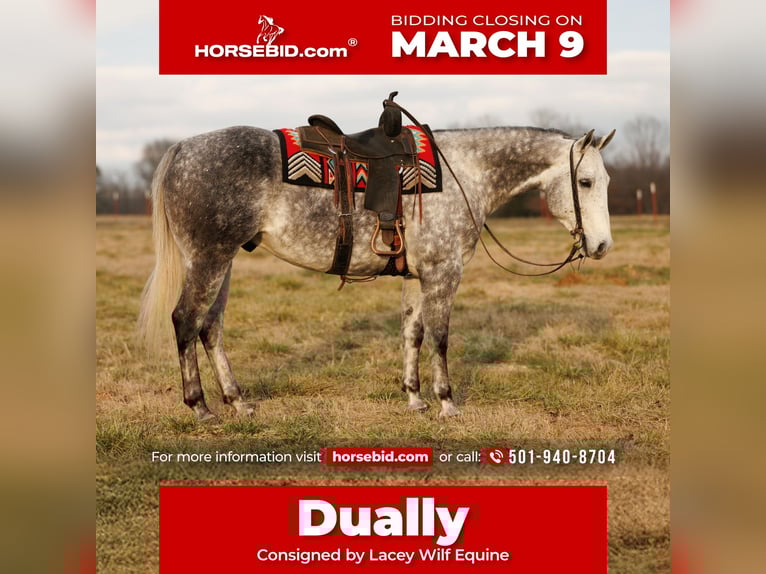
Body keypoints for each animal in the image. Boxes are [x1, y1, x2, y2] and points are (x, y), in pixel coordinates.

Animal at [137, 120, 616, 421]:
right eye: (586, 182)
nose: (602, 246)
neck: (464, 174)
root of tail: (183, 148)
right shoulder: (444, 274)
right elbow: (440, 338)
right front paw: (447, 403)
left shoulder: (417, 277)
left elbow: (413, 334)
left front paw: (415, 399)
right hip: (209, 258)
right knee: (185, 320)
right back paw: (200, 406)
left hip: (225, 261)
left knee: (210, 327)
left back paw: (238, 402)